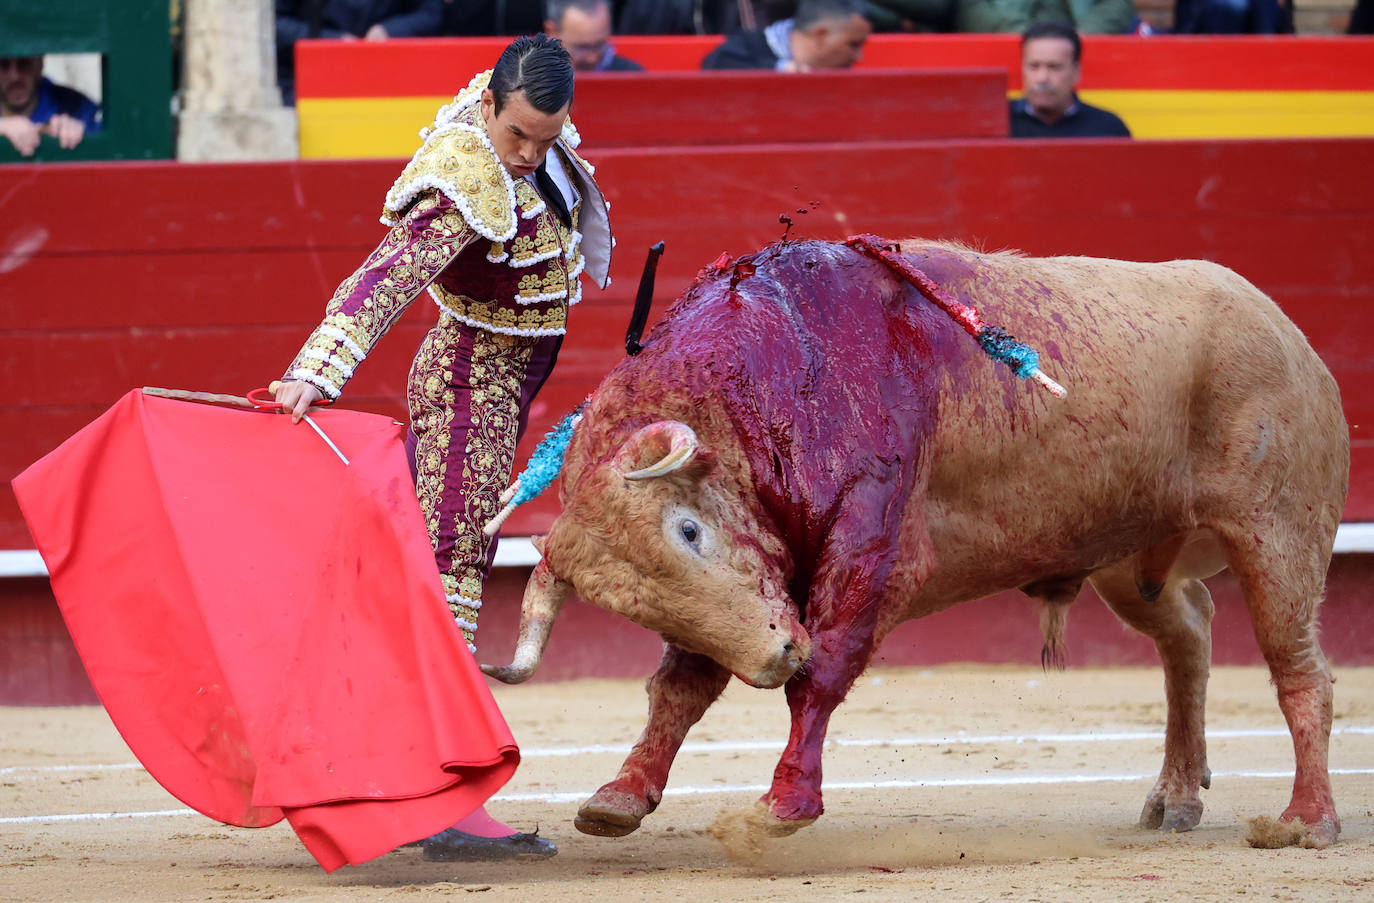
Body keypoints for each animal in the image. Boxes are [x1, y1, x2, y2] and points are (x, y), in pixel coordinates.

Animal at [478, 237, 1346, 846]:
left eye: (688, 528)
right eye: (640, 605)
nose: (774, 654)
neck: (772, 379)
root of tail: (1286, 329)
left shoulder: (878, 552)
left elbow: (822, 672)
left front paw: (781, 806)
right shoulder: (748, 593)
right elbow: (679, 688)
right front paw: (618, 797)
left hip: (1278, 534)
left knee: (1299, 669)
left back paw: (1304, 820)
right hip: (1130, 560)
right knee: (1188, 634)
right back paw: (1176, 795)